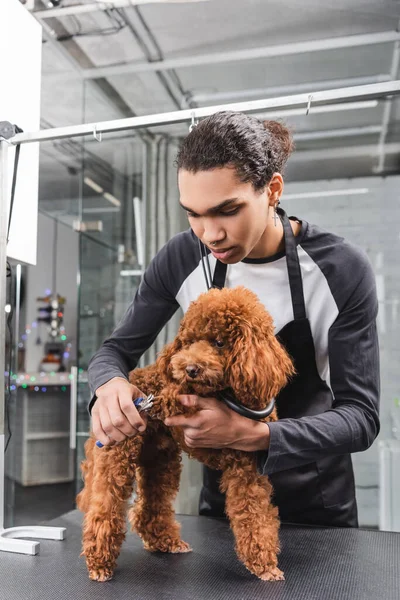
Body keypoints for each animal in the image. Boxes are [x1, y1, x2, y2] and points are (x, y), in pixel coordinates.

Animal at [76, 286, 294, 580]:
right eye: (189, 341)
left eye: (220, 342)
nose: (190, 369)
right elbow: (174, 397)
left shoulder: (248, 468)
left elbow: (255, 514)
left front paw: (265, 564)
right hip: (118, 453)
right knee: (104, 504)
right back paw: (99, 562)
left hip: (160, 459)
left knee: (149, 507)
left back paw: (166, 542)